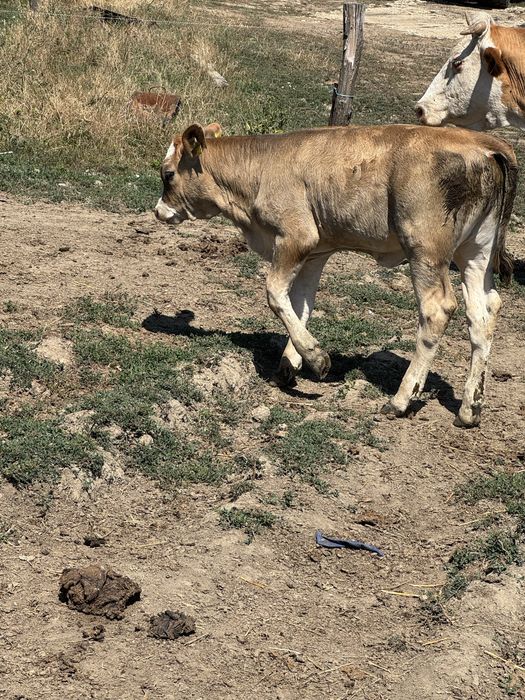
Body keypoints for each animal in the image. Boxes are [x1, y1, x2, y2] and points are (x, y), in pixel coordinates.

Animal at [154, 123, 517, 427]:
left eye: (168, 174)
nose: (158, 211)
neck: (260, 168)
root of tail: (484, 143)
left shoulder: (295, 236)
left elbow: (275, 294)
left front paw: (316, 359)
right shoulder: (316, 250)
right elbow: (300, 304)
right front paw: (290, 366)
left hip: (426, 250)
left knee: (437, 310)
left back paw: (400, 400)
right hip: (476, 252)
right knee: (484, 312)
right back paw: (470, 408)